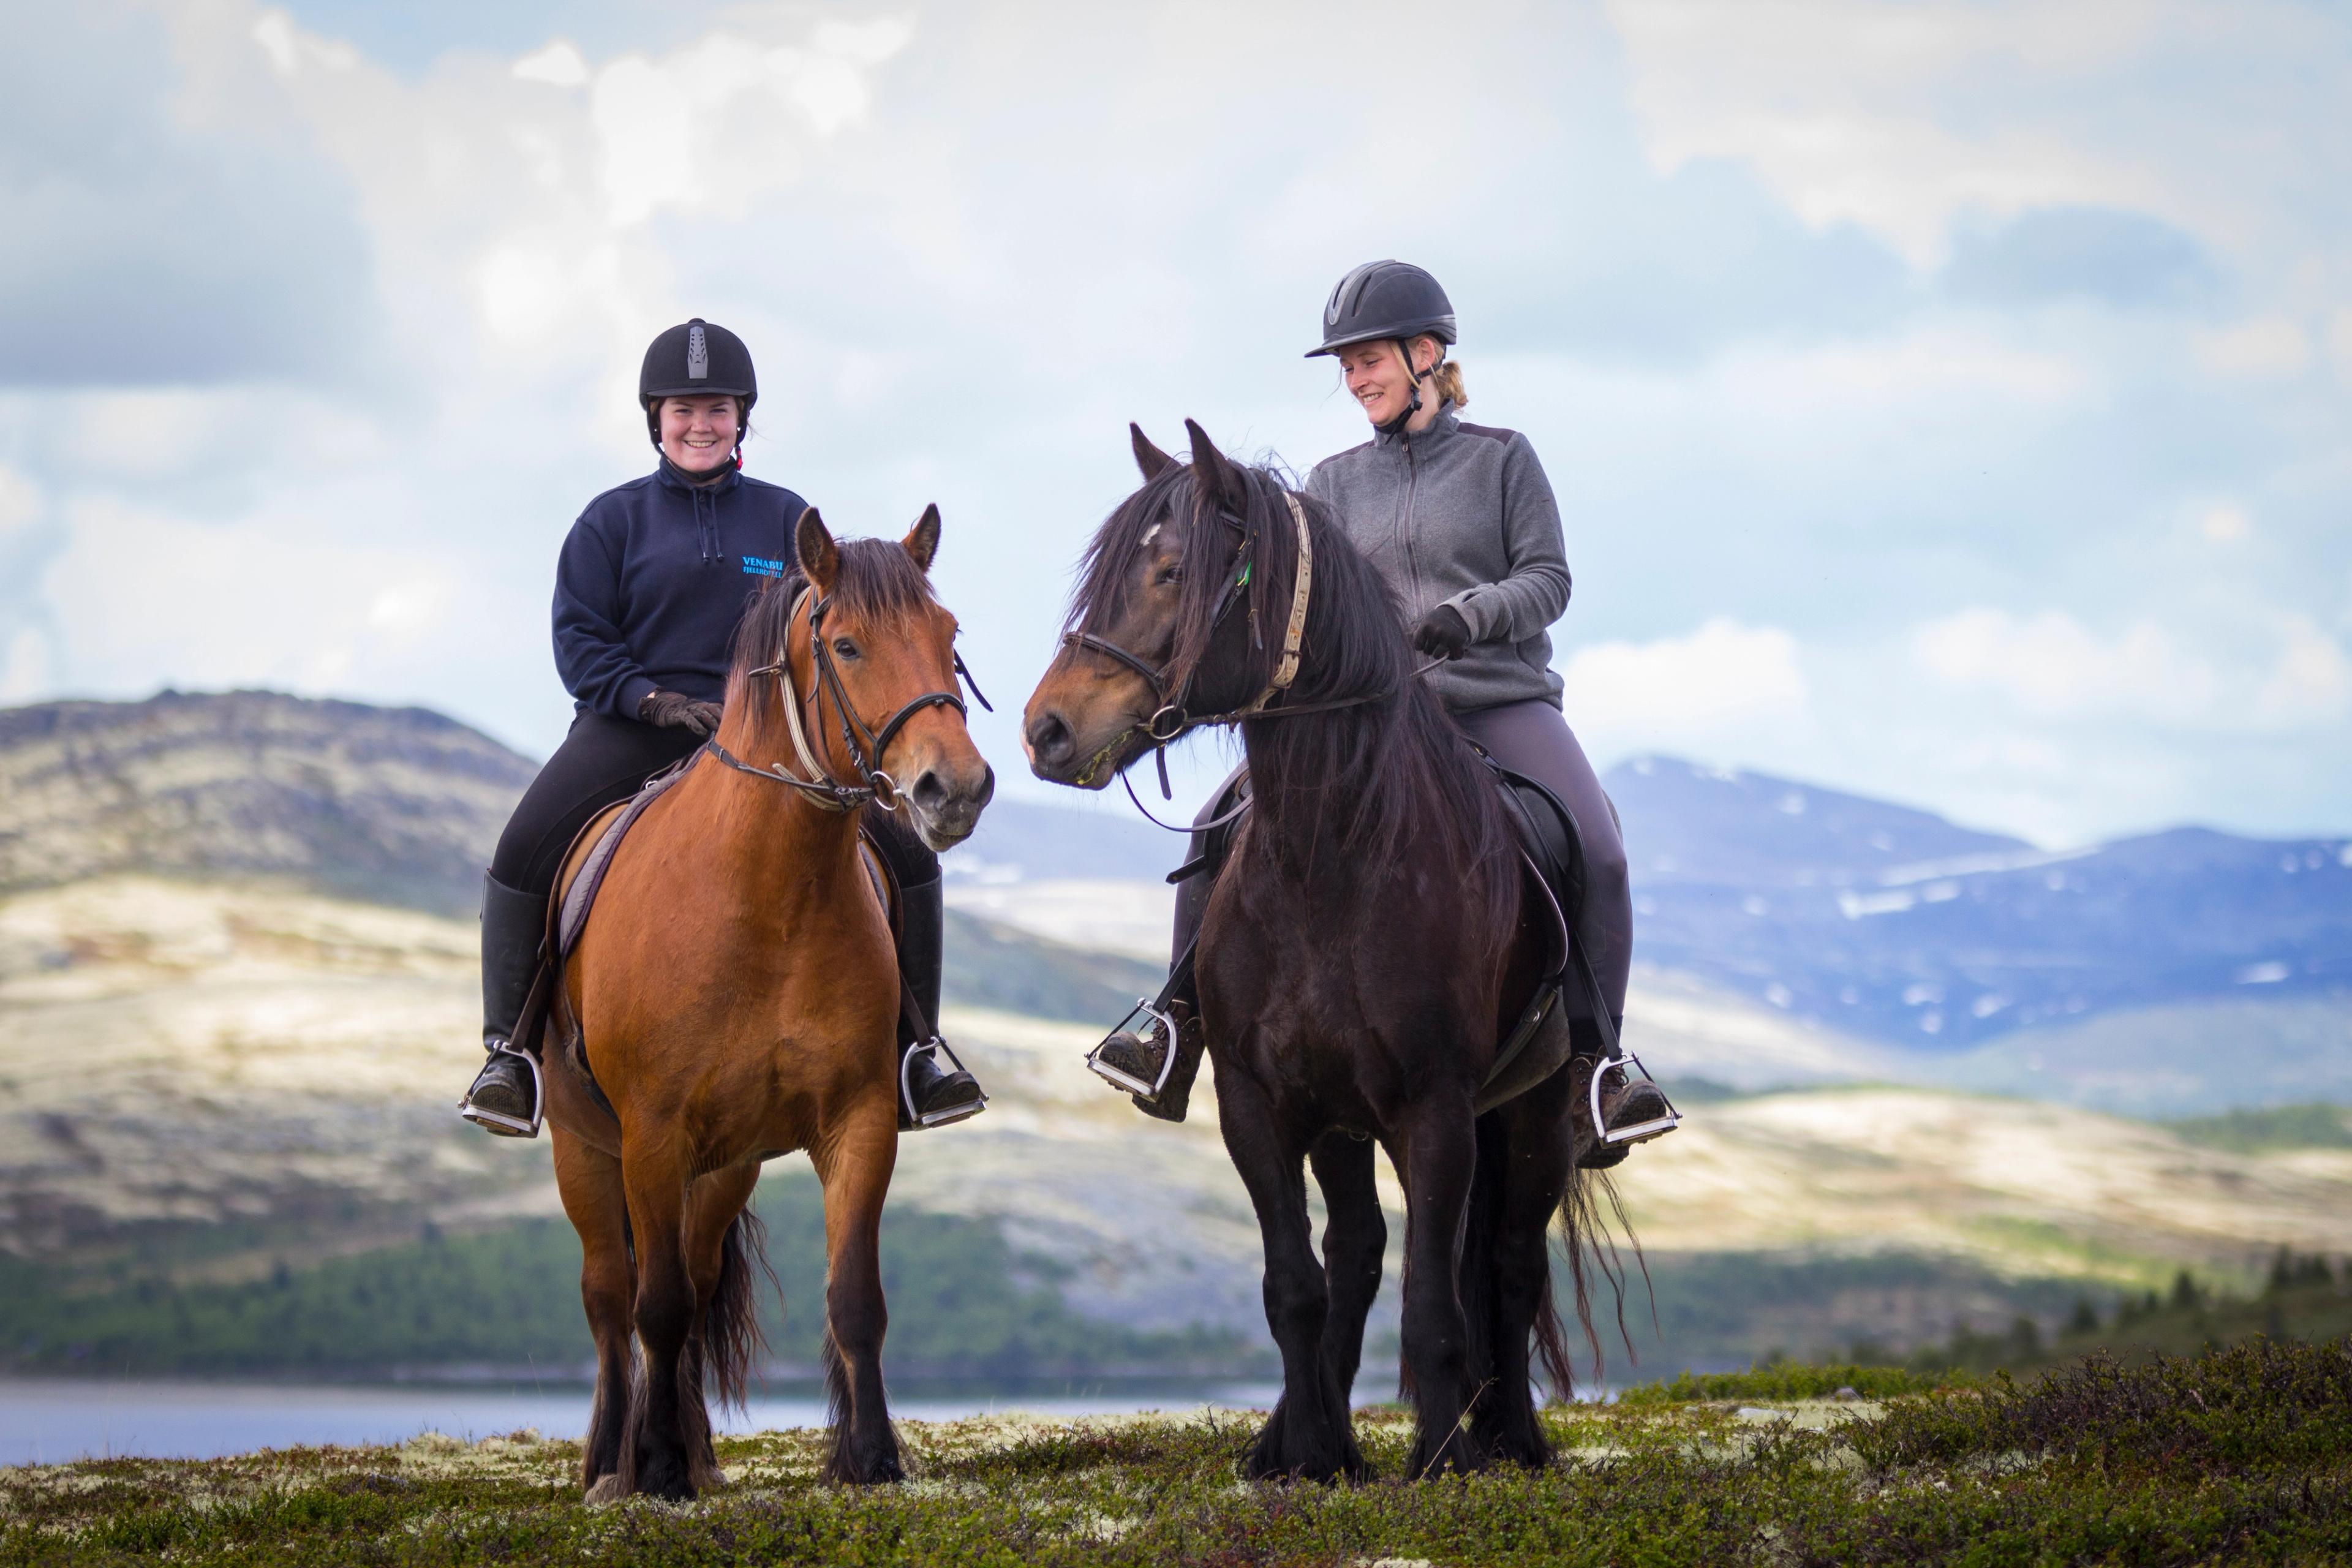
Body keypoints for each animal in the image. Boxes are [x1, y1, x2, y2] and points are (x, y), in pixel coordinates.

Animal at [542, 506, 993, 1501]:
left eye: (949, 636)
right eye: (849, 645)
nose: (956, 789)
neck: (767, 898)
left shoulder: (856, 1120)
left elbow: (854, 1301)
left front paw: (871, 1460)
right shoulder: (651, 1133)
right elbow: (654, 1307)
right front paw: (653, 1470)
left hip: (723, 1168)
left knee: (698, 1277)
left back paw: (697, 1453)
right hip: (584, 1149)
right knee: (608, 1298)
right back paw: (611, 1461)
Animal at [1021, 422, 1615, 1480]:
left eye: (1172, 572)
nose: (1046, 731)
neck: (1332, 859)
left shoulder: (1435, 1109)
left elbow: (1435, 1303)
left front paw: (1442, 1459)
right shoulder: (1260, 1104)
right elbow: (1296, 1287)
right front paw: (1307, 1455)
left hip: (1537, 1113)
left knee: (1506, 1265)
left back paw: (1511, 1439)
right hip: (1344, 1122)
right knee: (1361, 1253)